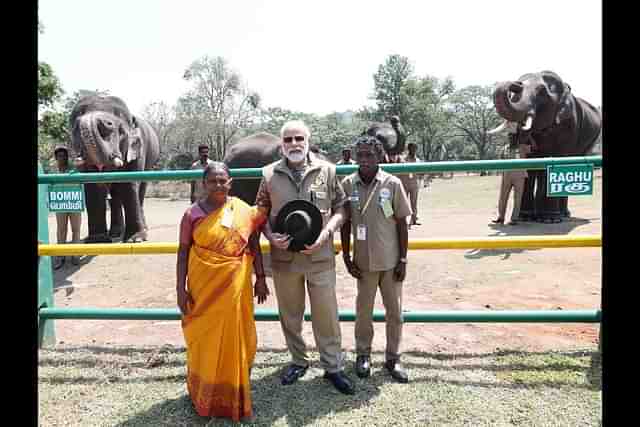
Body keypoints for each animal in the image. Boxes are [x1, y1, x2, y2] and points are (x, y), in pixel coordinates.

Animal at [69, 96, 160, 244]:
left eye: (122, 132)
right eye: (75, 132)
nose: (80, 121)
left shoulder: (138, 150)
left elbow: (129, 184)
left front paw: (135, 239)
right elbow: (93, 187)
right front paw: (97, 240)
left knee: (140, 190)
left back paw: (142, 230)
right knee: (115, 195)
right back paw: (115, 233)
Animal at [490, 71, 600, 222]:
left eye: (541, 92)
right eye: (515, 94)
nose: (516, 84)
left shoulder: (568, 126)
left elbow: (554, 161)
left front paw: (550, 219)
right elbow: (529, 165)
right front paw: (525, 217)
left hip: (589, 143)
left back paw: (561, 215)